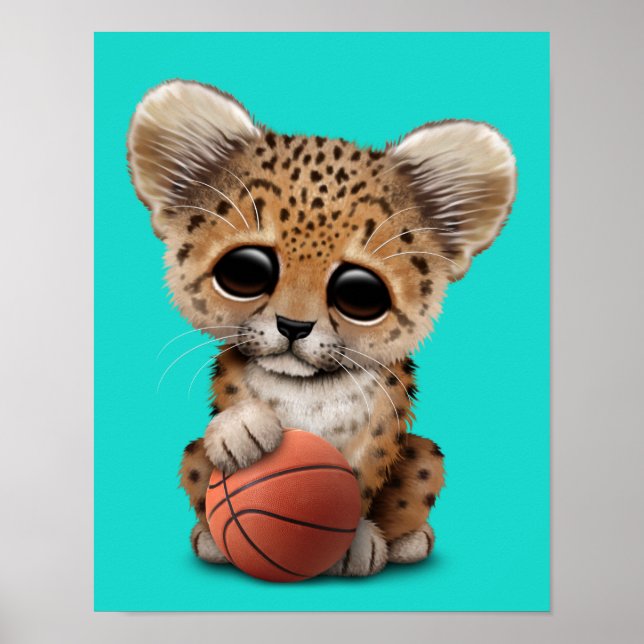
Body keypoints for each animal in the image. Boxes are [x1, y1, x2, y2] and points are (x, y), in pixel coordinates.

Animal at [127, 79, 516, 576]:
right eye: (245, 270)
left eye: (361, 293)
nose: (294, 326)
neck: (309, 390)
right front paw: (242, 430)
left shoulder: (381, 428)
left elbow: (359, 478)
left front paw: (352, 543)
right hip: (193, 454)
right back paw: (213, 540)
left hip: (426, 454)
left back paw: (409, 541)